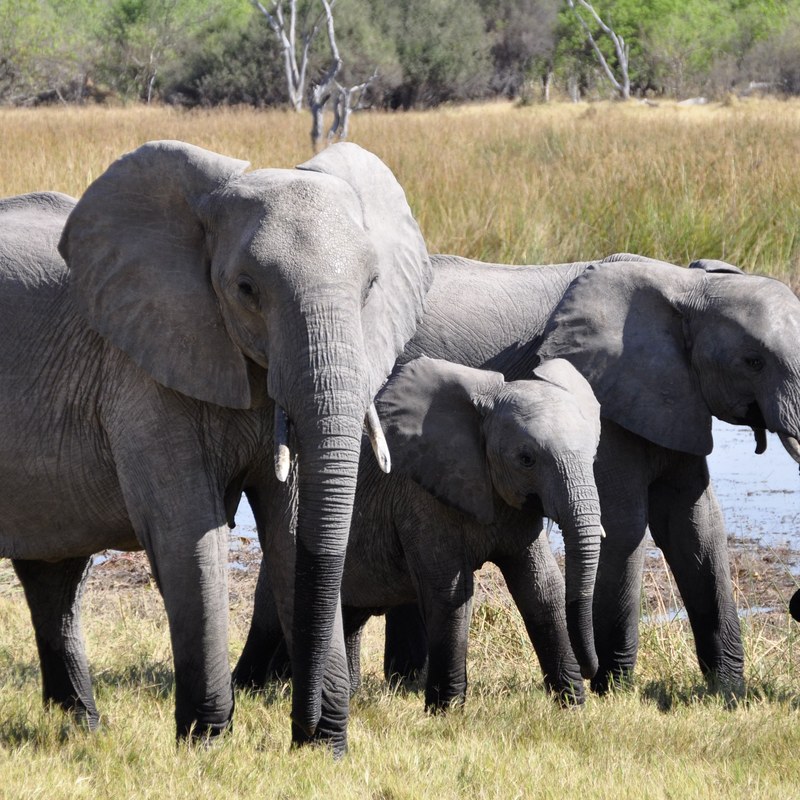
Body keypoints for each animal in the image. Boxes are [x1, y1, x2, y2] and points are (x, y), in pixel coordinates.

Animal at [0, 139, 431, 754]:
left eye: (372, 285)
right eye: (246, 290)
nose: (303, 728)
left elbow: (293, 530)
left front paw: (324, 748)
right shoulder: (141, 369)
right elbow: (188, 532)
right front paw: (204, 743)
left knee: (53, 574)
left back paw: (83, 728)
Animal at [234, 355, 604, 710]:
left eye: (593, 454)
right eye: (526, 459)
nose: (592, 670)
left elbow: (542, 589)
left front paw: (572, 706)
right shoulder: (419, 496)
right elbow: (451, 593)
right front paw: (446, 711)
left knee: (350, 615)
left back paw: (342, 693)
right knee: (271, 613)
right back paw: (248, 689)